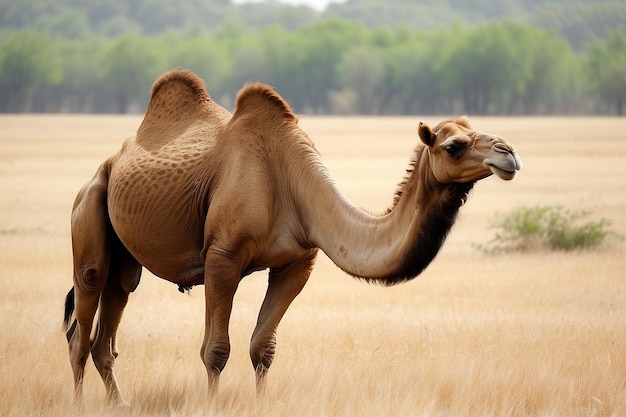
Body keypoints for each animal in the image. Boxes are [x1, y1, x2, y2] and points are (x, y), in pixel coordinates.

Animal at [64, 67, 520, 404]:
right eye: (454, 146)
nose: (509, 153)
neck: (291, 178)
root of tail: (106, 166)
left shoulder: (297, 262)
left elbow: (261, 348)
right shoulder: (222, 257)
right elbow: (215, 350)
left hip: (124, 258)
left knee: (113, 311)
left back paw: (120, 403)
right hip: (89, 212)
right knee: (81, 323)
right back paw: (80, 403)